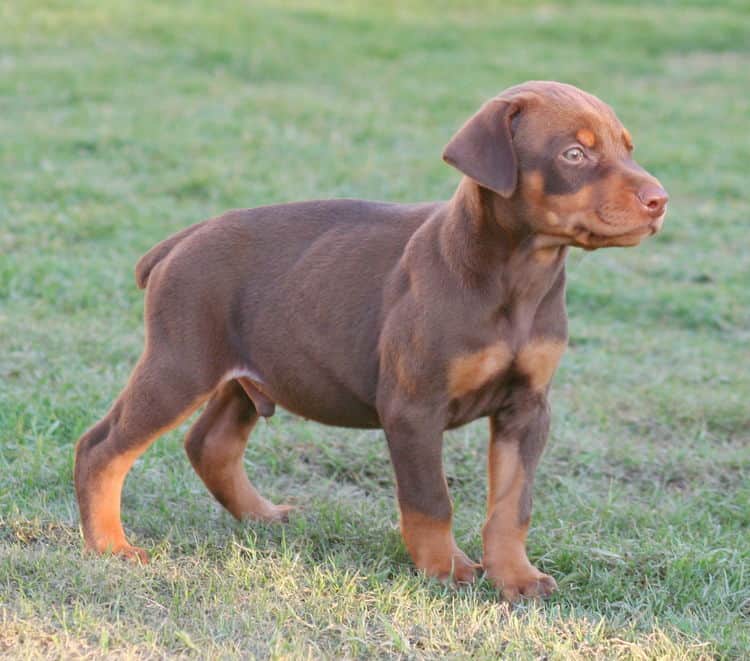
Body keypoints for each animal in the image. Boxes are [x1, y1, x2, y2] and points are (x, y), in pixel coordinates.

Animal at [75, 81, 668, 600]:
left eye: (628, 148)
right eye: (574, 154)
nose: (659, 200)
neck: (519, 275)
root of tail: (184, 237)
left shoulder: (527, 407)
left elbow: (511, 504)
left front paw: (515, 577)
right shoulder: (414, 406)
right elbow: (431, 500)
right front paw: (445, 568)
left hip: (251, 370)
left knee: (210, 443)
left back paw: (261, 517)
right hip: (182, 363)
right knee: (102, 447)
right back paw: (110, 545)